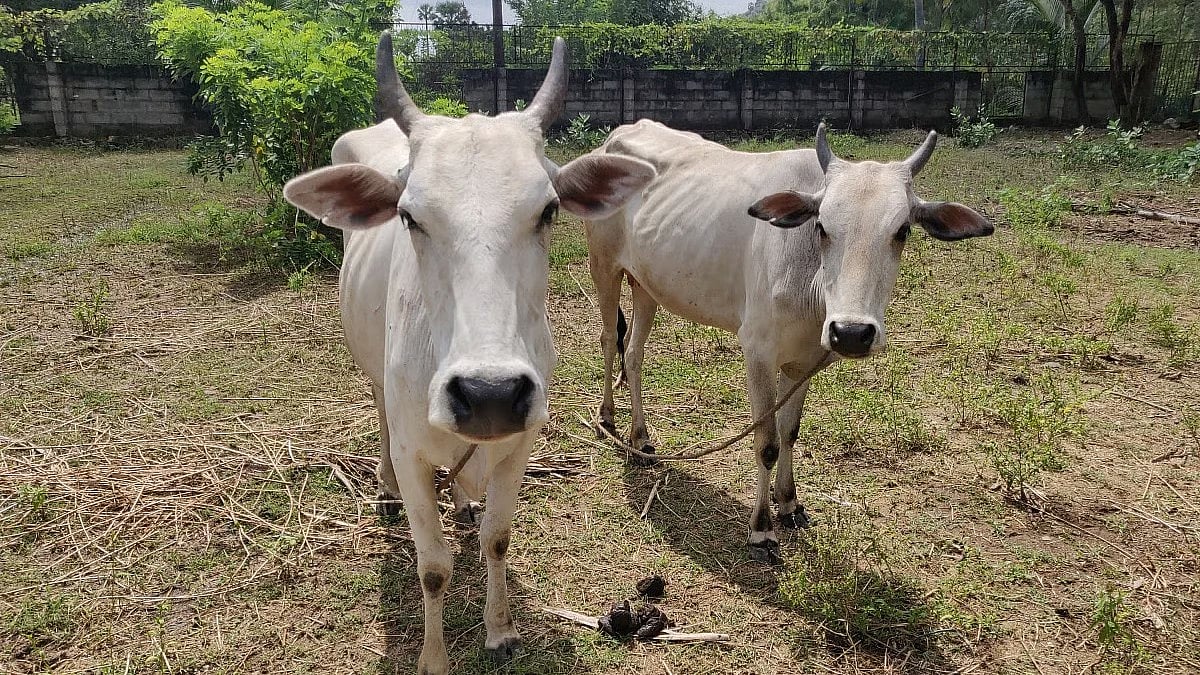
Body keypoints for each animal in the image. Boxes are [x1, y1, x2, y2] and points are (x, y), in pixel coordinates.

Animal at [282, 35, 655, 674]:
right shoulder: (413, 454)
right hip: (377, 385)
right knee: (380, 417)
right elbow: (433, 567)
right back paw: (383, 487)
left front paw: (500, 628)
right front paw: (433, 657)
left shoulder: (518, 447)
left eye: (548, 210)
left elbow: (497, 539)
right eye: (409, 216)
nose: (489, 394)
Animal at [584, 120, 992, 564]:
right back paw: (607, 417)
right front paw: (762, 529)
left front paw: (789, 503)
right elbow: (767, 443)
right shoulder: (757, 354)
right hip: (603, 268)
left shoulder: (803, 363)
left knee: (635, 354)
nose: (852, 333)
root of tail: (613, 139)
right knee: (607, 339)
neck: (811, 286)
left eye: (902, 231)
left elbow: (790, 432)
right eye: (821, 227)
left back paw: (640, 438)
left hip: (646, 286)